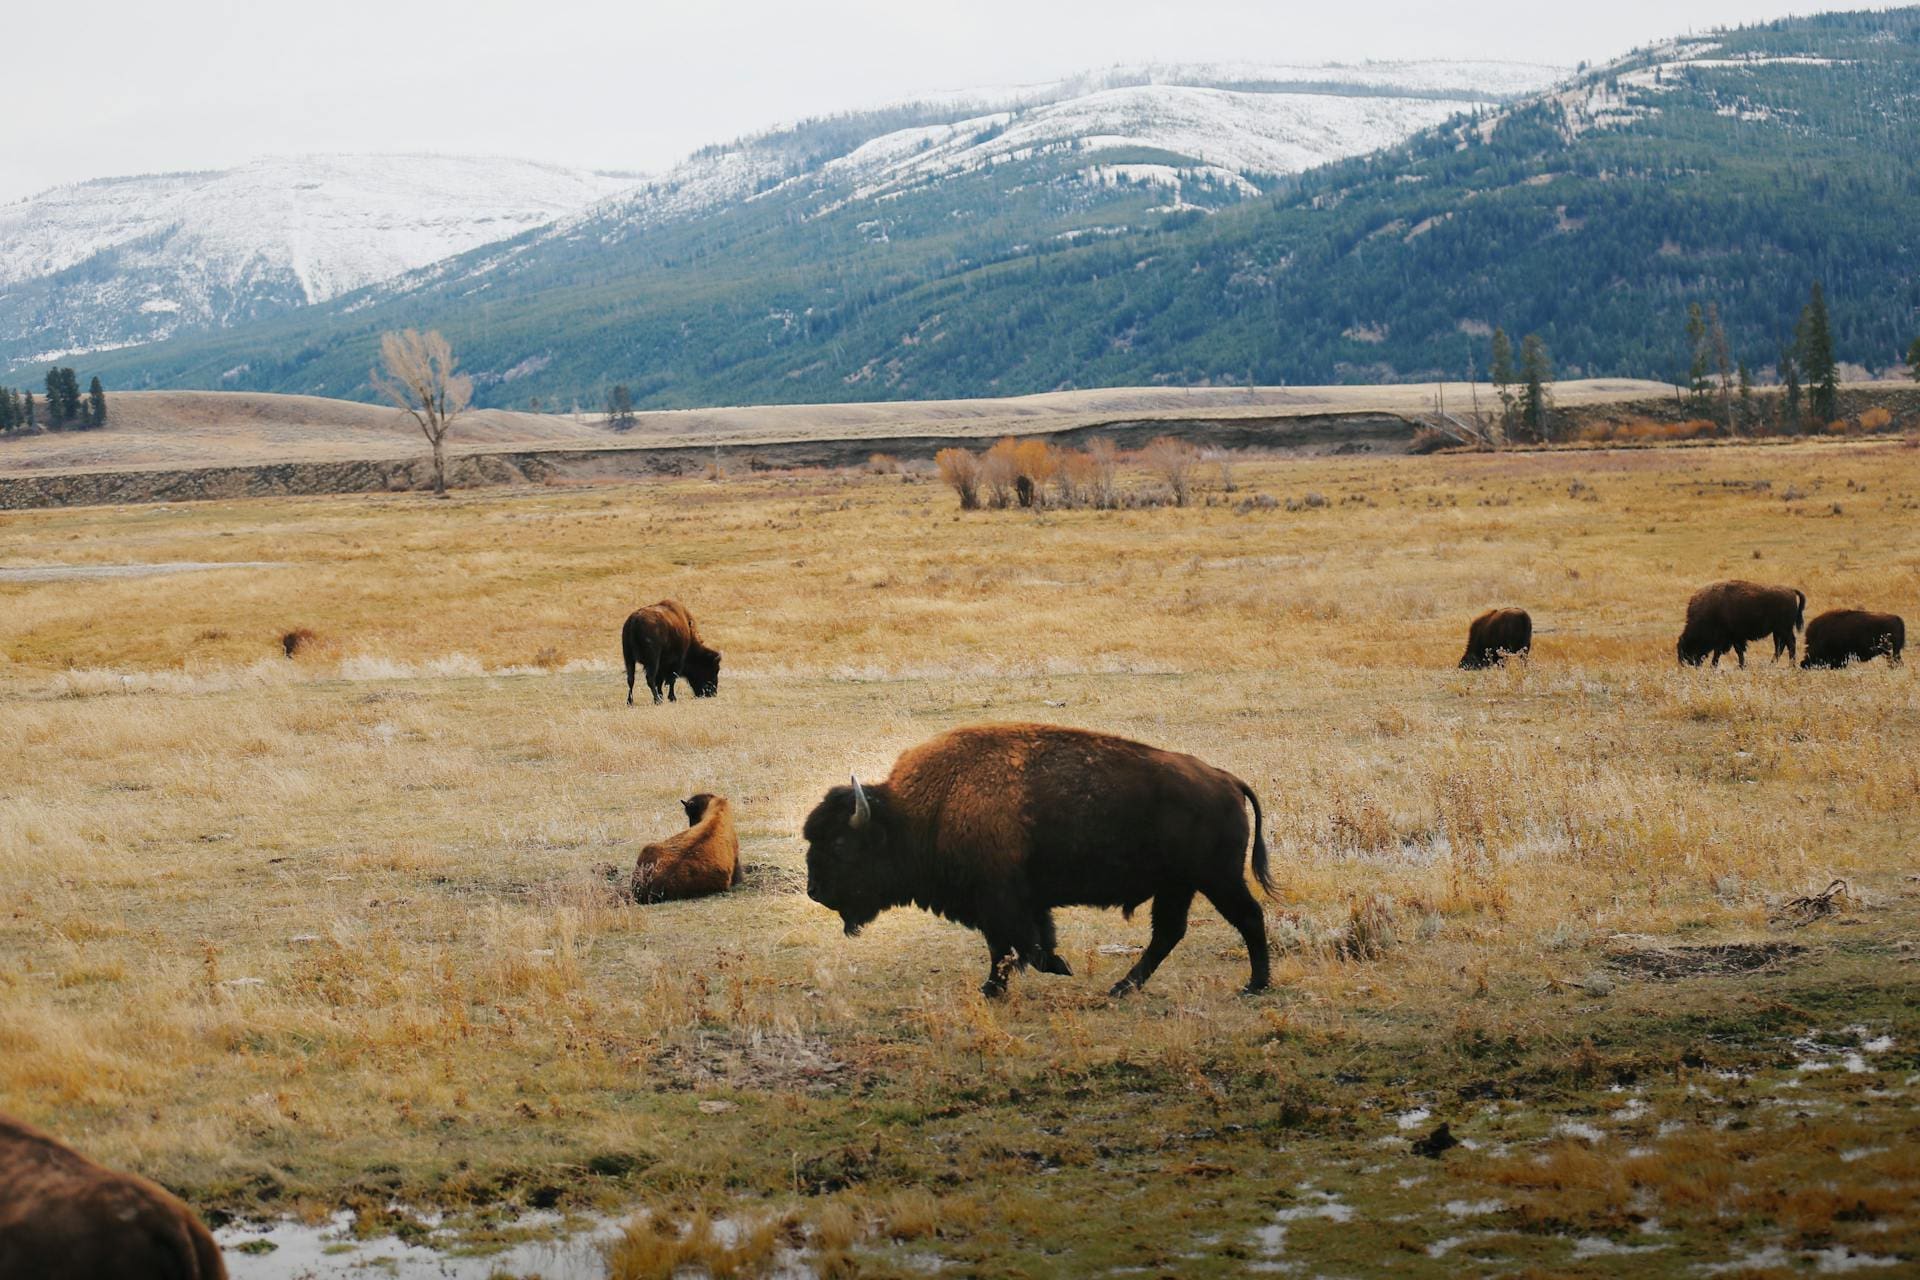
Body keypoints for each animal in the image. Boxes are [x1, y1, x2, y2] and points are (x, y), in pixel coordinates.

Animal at [802, 723, 1272, 998]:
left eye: (841, 844)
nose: (815, 891)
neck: (925, 808)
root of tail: (1226, 780)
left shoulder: (998, 900)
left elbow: (1010, 946)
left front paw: (1009, 983)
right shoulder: (1022, 903)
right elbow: (1027, 942)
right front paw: (1020, 978)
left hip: (1216, 879)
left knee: (1247, 917)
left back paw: (1255, 986)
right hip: (1179, 886)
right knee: (1169, 933)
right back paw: (1122, 987)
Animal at [1677, 580, 1805, 667]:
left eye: (1689, 647)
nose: (1689, 663)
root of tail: (1791, 590)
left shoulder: (1728, 637)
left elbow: (1725, 652)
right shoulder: (1733, 638)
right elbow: (1737, 652)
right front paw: (1741, 666)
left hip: (1784, 630)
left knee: (1790, 644)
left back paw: (1791, 666)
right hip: (1777, 631)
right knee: (1780, 647)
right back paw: (1772, 664)